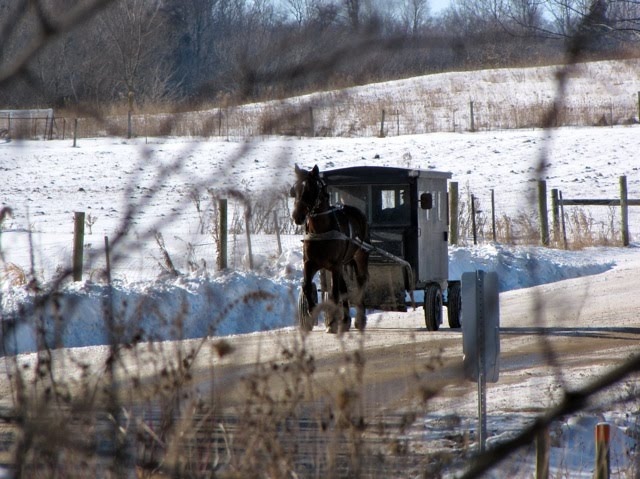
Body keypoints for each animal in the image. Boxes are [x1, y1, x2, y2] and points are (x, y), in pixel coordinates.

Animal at [292, 165, 370, 334]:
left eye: (310, 189)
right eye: (294, 190)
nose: (296, 216)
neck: (321, 231)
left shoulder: (334, 265)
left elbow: (334, 294)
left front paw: (333, 322)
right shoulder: (310, 263)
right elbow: (306, 286)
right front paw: (311, 313)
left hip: (360, 256)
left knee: (361, 282)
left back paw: (359, 320)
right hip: (342, 264)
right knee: (344, 288)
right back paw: (345, 321)